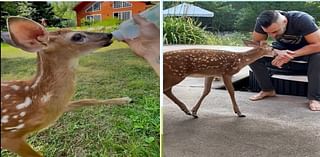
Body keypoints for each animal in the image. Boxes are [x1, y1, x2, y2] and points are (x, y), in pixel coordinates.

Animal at [0, 16, 131, 156]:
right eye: (77, 36)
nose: (109, 34)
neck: (37, 100)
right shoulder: (9, 137)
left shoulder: (60, 107)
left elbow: (86, 100)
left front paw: (125, 99)